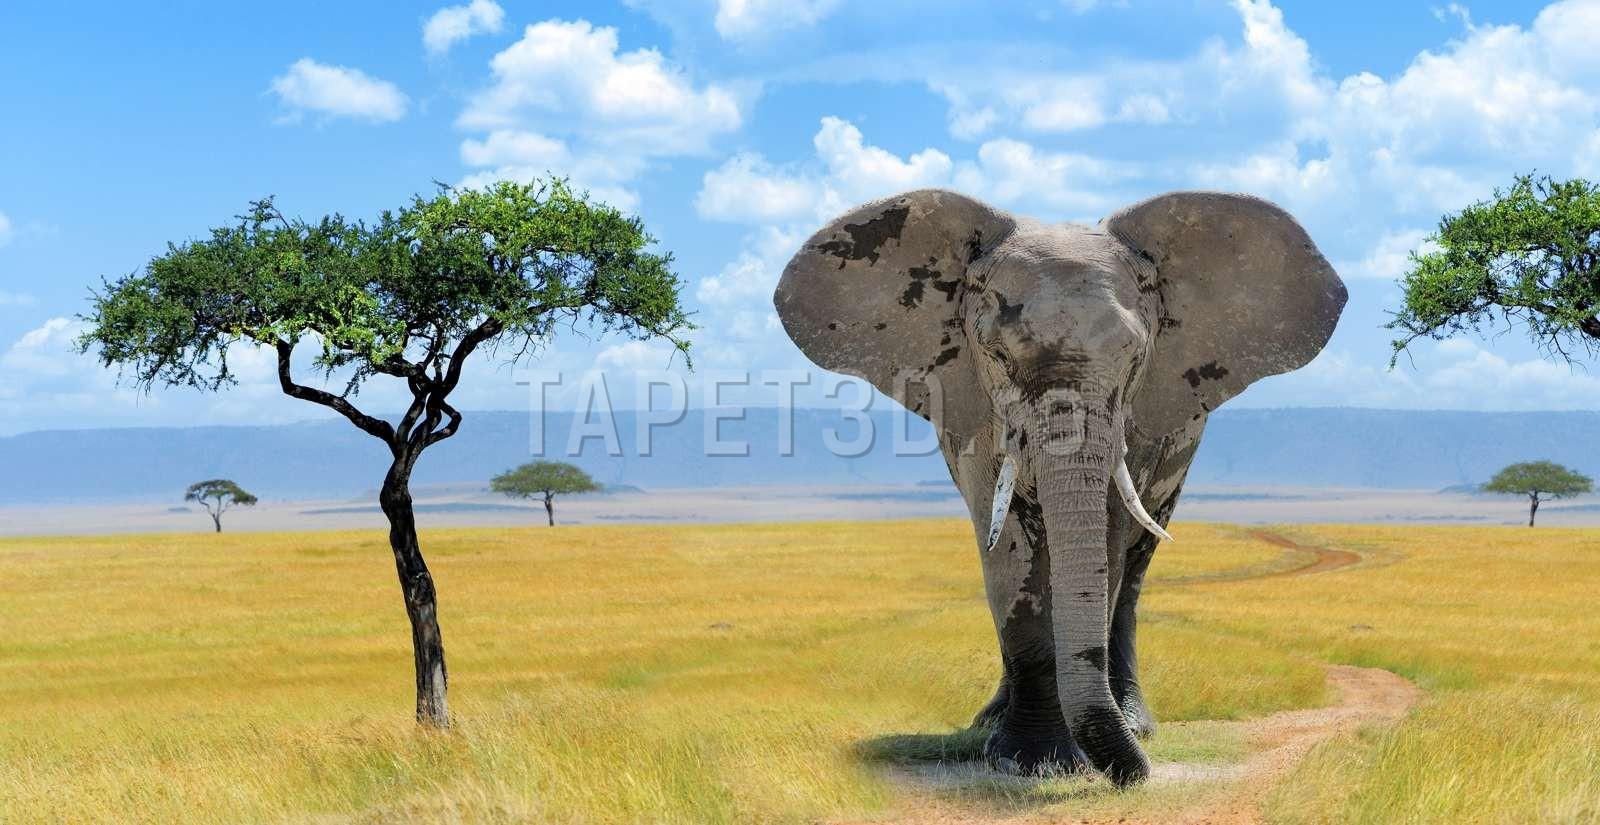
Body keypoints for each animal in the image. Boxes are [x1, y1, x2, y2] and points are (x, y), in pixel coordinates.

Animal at [772, 189, 1345, 786]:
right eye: (998, 355)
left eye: (1135, 357)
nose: (1137, 776)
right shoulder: (978, 416)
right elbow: (1006, 554)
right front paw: (1031, 763)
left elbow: (1109, 546)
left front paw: (1064, 759)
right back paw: (991, 727)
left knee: (1135, 568)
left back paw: (1135, 726)